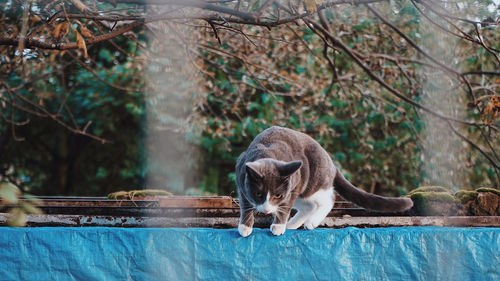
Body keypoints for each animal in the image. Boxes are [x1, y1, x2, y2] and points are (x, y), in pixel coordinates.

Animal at [234, 126, 414, 235]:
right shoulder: (242, 179)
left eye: (277, 195)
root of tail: (331, 163)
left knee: (328, 199)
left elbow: (284, 207)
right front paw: (245, 226)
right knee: (307, 206)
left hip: (311, 183)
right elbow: (245, 204)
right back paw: (292, 224)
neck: (268, 155)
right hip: (301, 191)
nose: (266, 210)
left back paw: (308, 222)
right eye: (258, 194)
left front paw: (278, 226)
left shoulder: (290, 188)